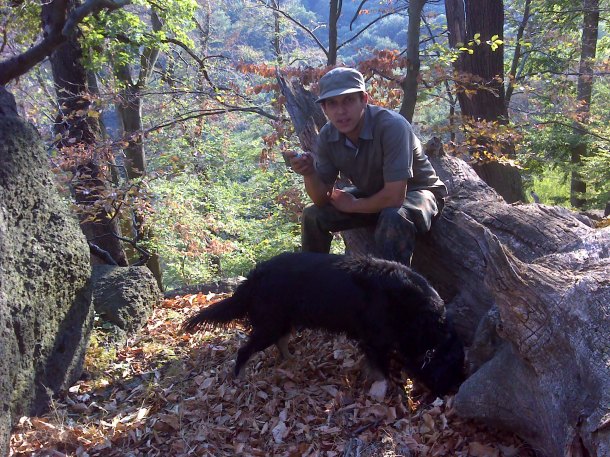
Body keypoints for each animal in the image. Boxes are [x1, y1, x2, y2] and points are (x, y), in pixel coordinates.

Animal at [183, 251, 464, 398]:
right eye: (452, 369)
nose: (450, 394)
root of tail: (254, 276)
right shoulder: (374, 340)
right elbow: (381, 370)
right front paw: (387, 389)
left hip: (284, 321)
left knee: (281, 342)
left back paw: (291, 360)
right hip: (270, 325)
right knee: (245, 350)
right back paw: (239, 378)